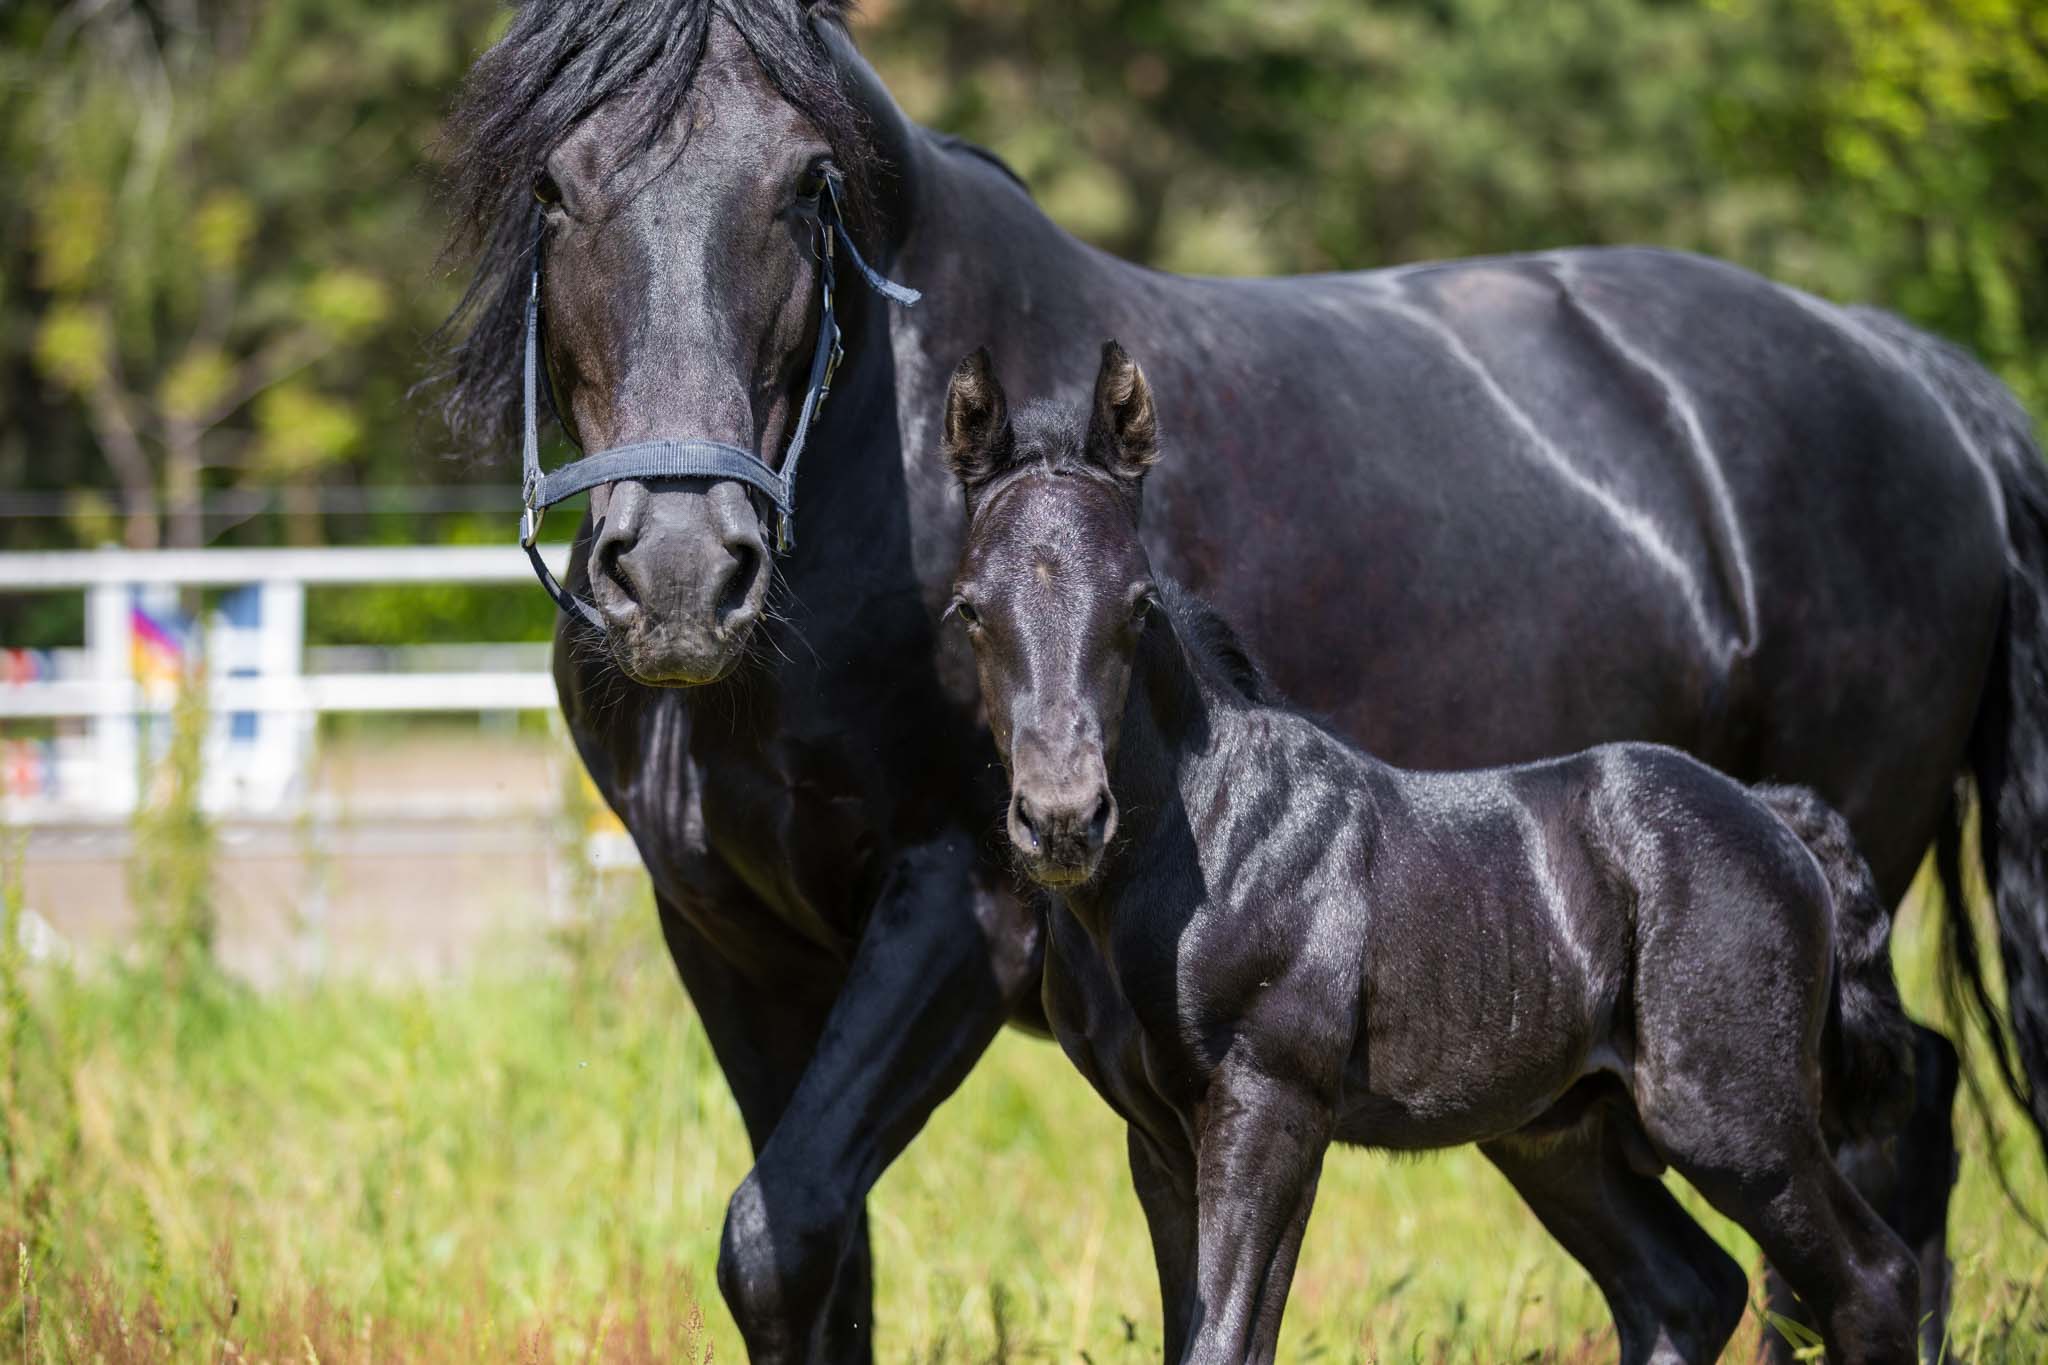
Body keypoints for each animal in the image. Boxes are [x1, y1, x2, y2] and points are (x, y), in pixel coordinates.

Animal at [937, 341, 1925, 1365]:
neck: (1210, 845)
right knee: (1686, 1287)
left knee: (1872, 1282)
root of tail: (1773, 815)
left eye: (1136, 605)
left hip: (1734, 1118)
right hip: (1561, 1134)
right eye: (969, 609)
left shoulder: (1270, 1106)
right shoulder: (1157, 1138)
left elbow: (1228, 1338)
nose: (1062, 818)